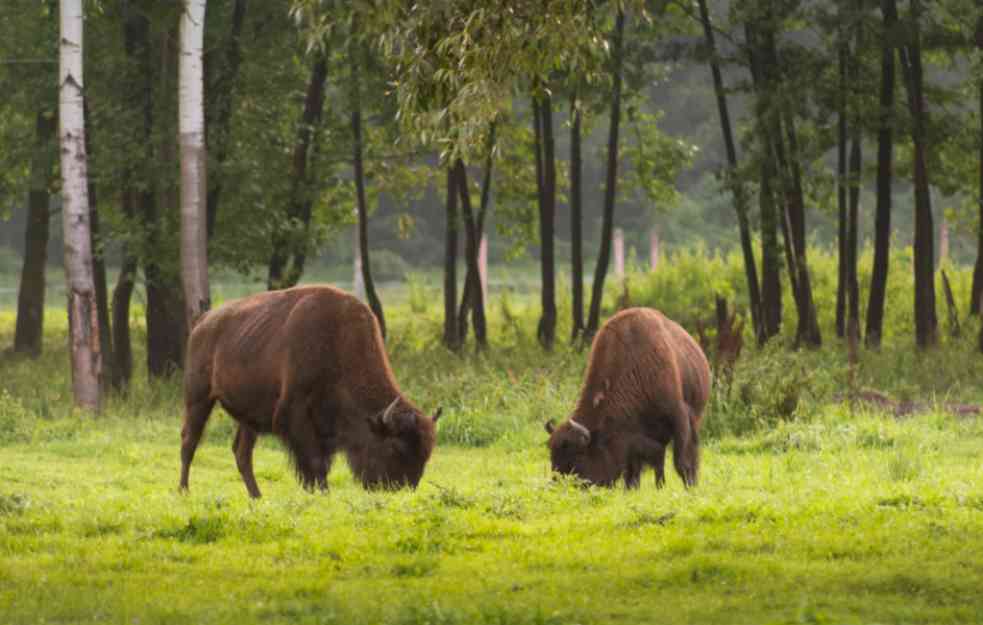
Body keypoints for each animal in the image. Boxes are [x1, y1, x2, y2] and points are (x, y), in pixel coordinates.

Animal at [178, 284, 442, 498]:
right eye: (395, 447)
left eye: (427, 453)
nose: (404, 488)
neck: (338, 341)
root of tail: (202, 321)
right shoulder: (297, 416)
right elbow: (315, 463)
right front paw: (322, 493)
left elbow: (322, 463)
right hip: (198, 397)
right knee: (189, 441)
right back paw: (184, 491)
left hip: (249, 416)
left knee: (242, 453)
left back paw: (257, 497)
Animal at [544, 308, 716, 488]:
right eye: (552, 454)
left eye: (578, 454)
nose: (559, 485)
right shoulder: (632, 437)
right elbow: (634, 468)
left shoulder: (679, 416)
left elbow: (682, 461)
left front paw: (690, 486)